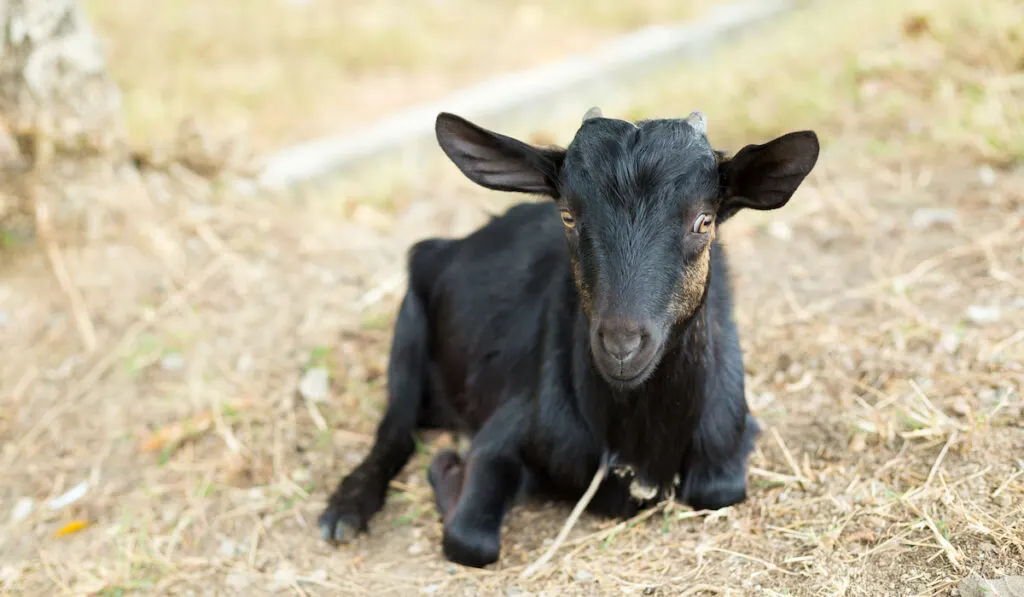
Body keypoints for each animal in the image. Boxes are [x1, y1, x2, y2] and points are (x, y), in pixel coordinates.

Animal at [315, 108, 819, 569]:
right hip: (409, 322)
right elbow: (469, 539)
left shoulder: (731, 432)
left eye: (704, 221)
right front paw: (447, 469)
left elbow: (720, 490)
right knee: (394, 427)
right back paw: (345, 510)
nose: (621, 346)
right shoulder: (506, 429)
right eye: (568, 215)